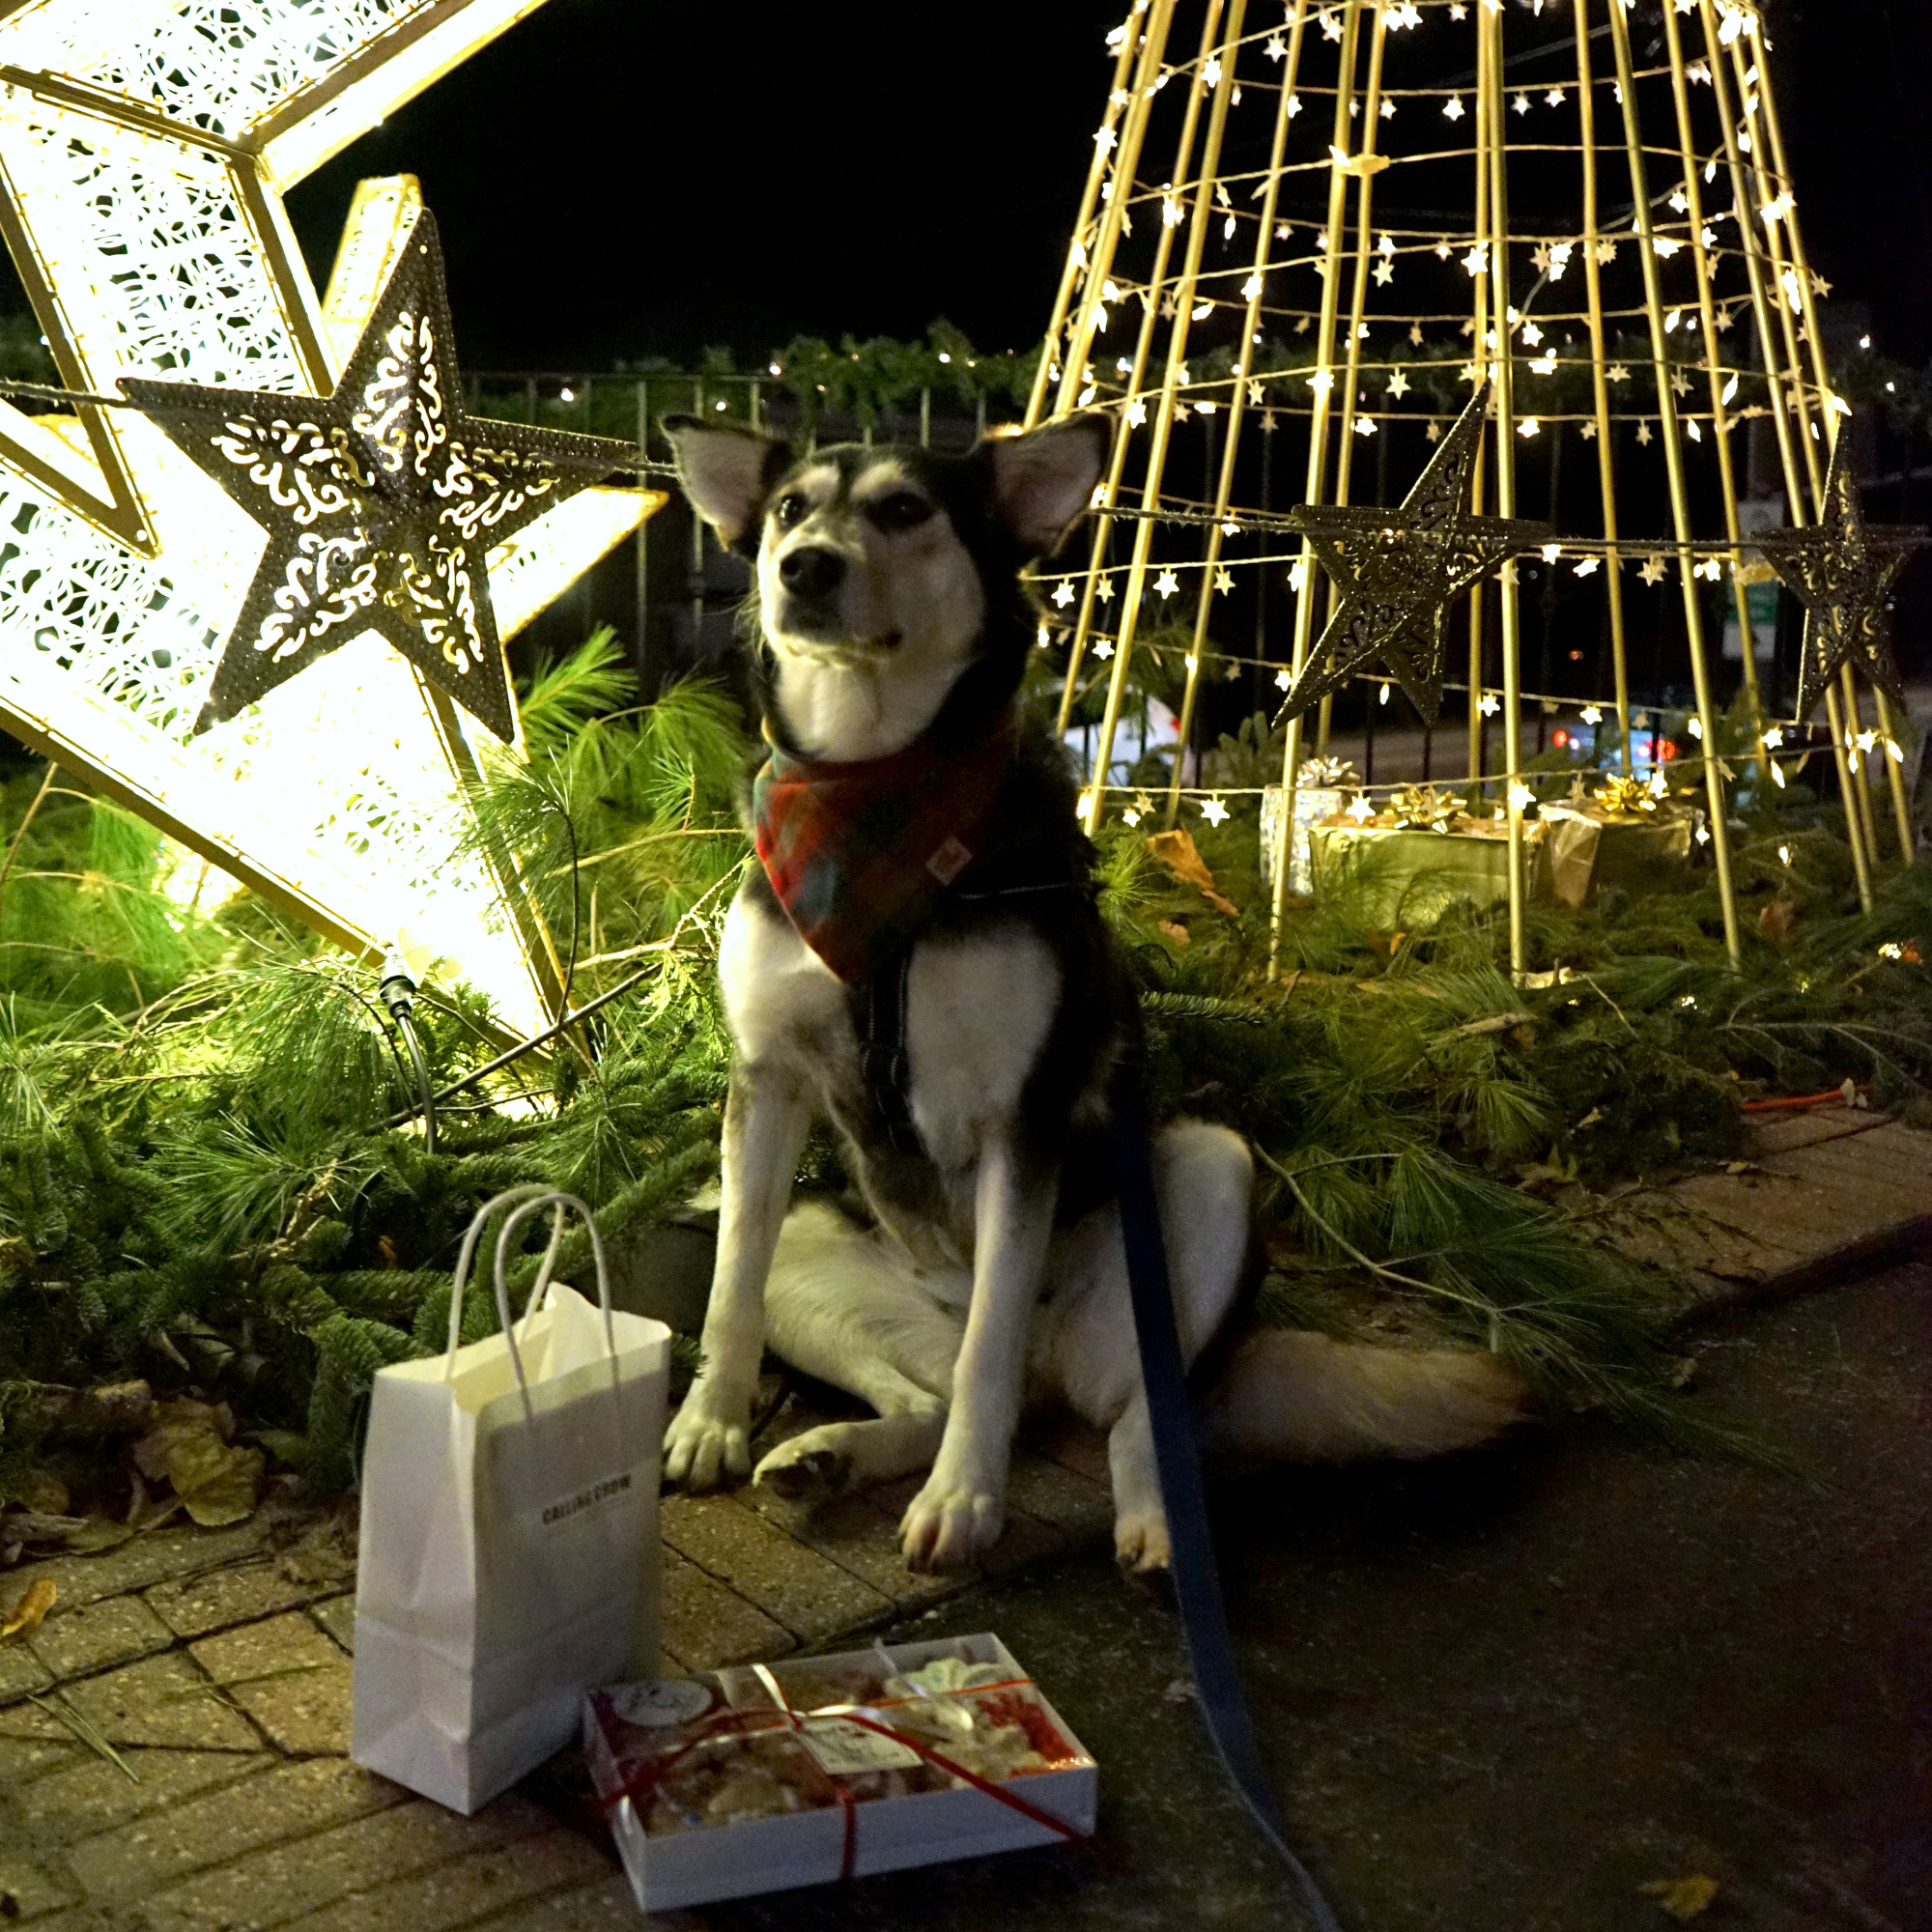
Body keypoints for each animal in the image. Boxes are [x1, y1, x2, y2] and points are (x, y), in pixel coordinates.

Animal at [665, 415, 1522, 1577]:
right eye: (791, 509)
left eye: (904, 509)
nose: (803, 567)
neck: (874, 790)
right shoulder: (765, 1083)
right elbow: (727, 1294)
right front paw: (707, 1422)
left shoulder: (1024, 1111)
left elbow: (988, 1347)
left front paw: (966, 1502)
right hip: (819, 1241)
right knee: (935, 1391)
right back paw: (825, 1456)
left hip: (1205, 1174)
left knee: (1121, 1409)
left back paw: (1155, 1519)